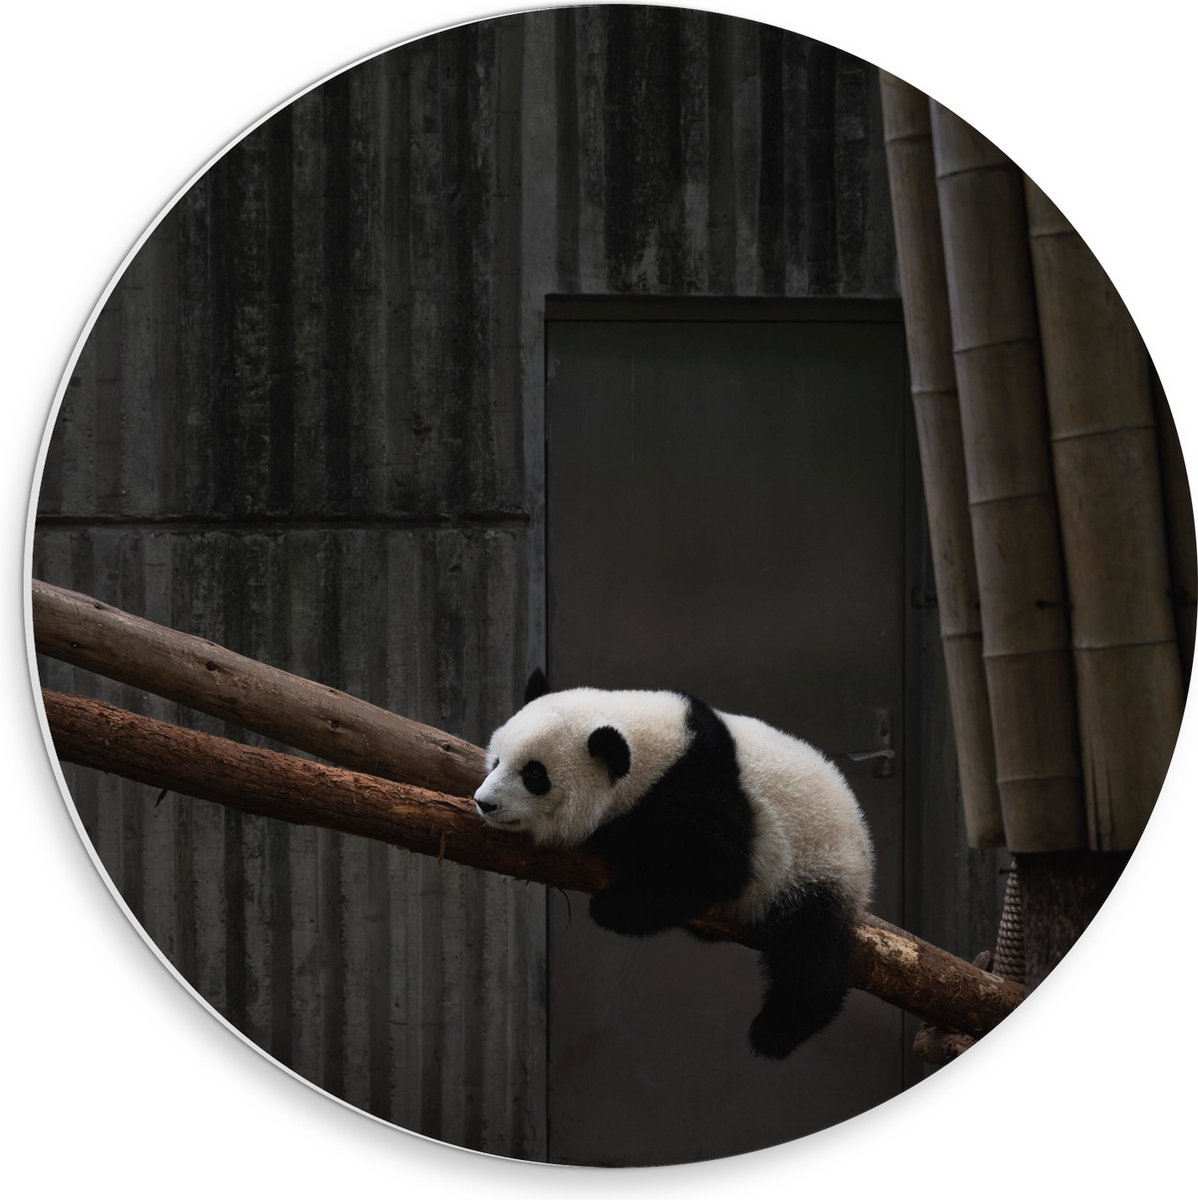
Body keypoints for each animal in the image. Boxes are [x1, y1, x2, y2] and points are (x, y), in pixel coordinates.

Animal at [473, 669, 874, 1059]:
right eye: (497, 760)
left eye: (534, 774)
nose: (484, 803)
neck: (658, 752)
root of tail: (864, 849)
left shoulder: (698, 791)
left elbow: (716, 868)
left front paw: (613, 904)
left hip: (815, 868)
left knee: (811, 954)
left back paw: (776, 1031)